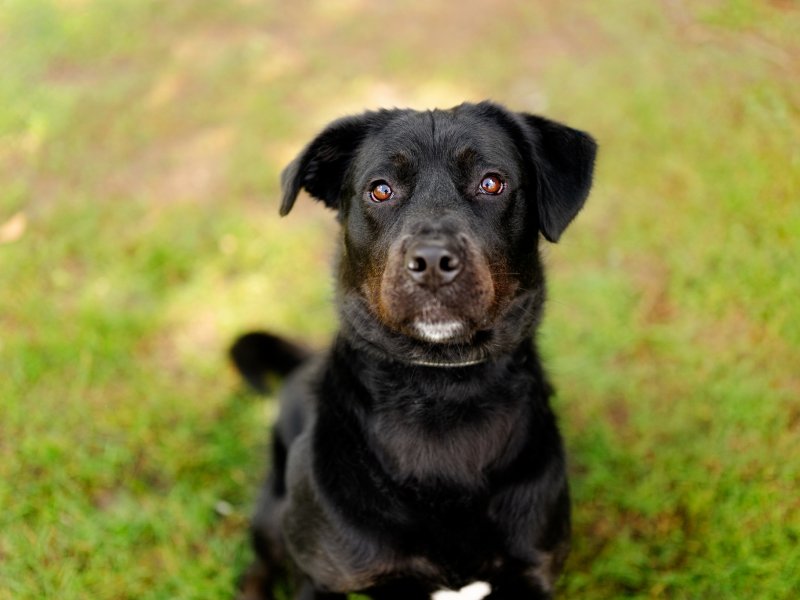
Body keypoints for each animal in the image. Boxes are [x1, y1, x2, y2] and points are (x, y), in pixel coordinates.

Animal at [230, 101, 596, 600]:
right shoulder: (325, 577)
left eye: (492, 183)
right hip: (273, 513)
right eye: (380, 190)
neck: (442, 388)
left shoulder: (532, 571)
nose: (433, 262)